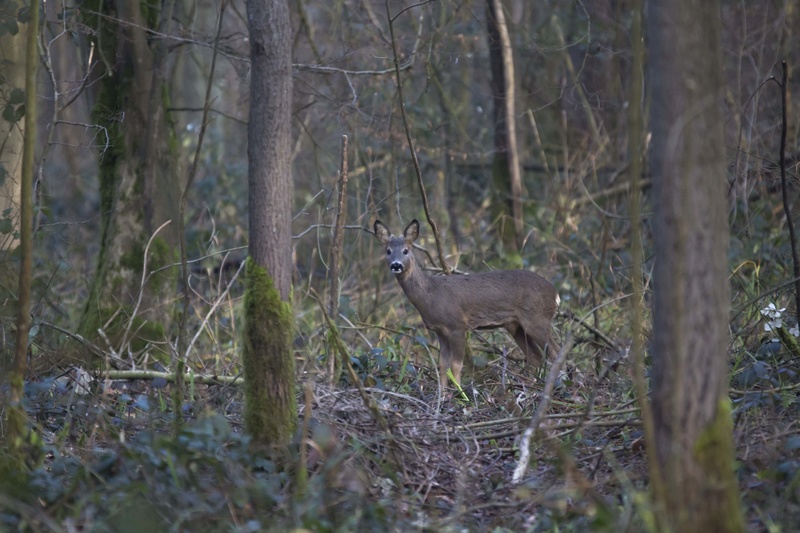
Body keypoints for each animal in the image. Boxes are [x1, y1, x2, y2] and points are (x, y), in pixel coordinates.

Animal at [376, 217, 560, 386]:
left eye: (406, 250)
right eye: (388, 251)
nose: (396, 265)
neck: (431, 295)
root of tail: (555, 294)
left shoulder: (457, 325)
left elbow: (456, 366)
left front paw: (460, 395)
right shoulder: (440, 331)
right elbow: (442, 366)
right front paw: (443, 396)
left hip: (537, 318)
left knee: (556, 353)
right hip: (516, 326)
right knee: (535, 357)